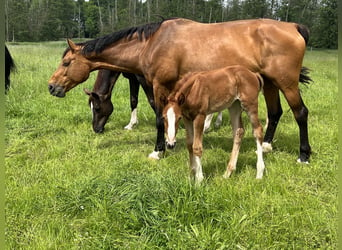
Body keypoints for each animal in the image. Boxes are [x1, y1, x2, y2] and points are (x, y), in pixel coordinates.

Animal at [47, 18, 312, 162]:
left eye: (66, 62)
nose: (51, 86)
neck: (152, 43)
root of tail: (293, 26)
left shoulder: (158, 85)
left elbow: (158, 117)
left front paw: (158, 150)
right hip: (269, 82)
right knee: (275, 113)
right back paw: (266, 146)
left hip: (286, 83)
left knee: (300, 113)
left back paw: (304, 155)